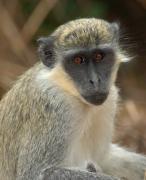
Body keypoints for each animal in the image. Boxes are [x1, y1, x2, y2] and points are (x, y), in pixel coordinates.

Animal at [0, 17, 146, 179]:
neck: (67, 89)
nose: (95, 81)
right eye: (78, 60)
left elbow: (103, 158)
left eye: (99, 56)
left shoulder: (109, 102)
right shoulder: (55, 106)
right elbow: (37, 173)